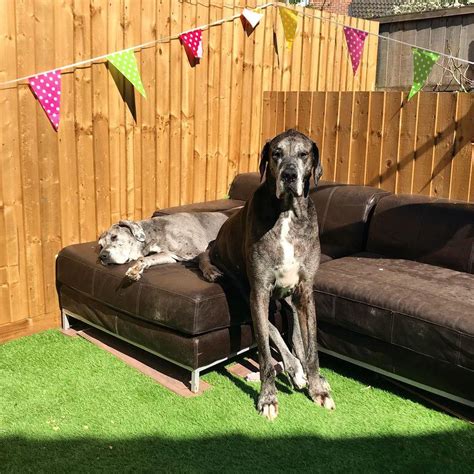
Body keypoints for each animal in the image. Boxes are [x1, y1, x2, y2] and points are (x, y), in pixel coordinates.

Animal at [98, 212, 228, 282]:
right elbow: (145, 258)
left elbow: (203, 260)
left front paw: (211, 271)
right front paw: (135, 269)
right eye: (101, 245)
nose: (102, 256)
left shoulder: (199, 250)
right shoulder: (168, 255)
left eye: (114, 237)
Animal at [198, 129, 336, 418]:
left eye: (304, 154)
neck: (286, 213)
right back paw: (293, 367)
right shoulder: (259, 292)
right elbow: (264, 351)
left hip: (289, 296)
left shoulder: (305, 291)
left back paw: (301, 369)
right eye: (276, 153)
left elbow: (311, 347)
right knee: (273, 331)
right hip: (247, 291)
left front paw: (318, 388)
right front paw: (268, 397)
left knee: (294, 333)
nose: (289, 175)